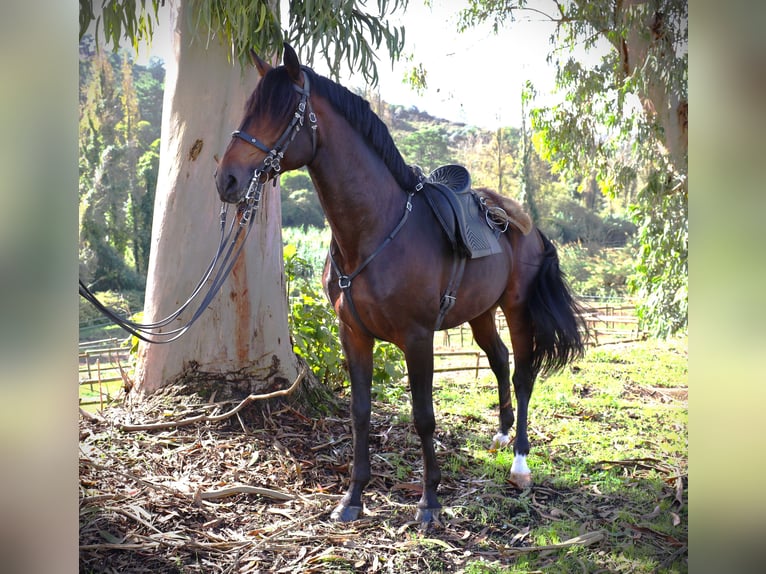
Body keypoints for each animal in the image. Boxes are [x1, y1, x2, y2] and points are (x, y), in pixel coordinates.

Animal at [216, 44, 588, 528]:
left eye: (281, 113)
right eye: (249, 108)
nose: (226, 180)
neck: (375, 230)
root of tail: (526, 225)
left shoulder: (417, 338)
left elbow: (424, 416)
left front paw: (429, 502)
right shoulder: (353, 334)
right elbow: (360, 413)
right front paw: (353, 497)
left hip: (517, 309)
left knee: (523, 373)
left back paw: (520, 462)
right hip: (481, 314)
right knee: (500, 360)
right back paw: (502, 433)